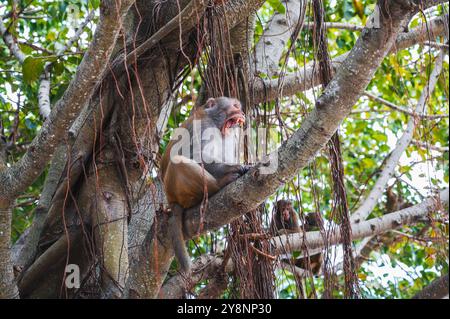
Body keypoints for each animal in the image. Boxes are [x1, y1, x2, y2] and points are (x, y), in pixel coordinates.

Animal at [160, 96, 248, 274]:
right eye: (235, 106)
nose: (242, 112)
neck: (215, 122)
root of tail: (171, 200)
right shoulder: (203, 126)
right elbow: (196, 155)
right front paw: (234, 167)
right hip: (178, 189)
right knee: (178, 161)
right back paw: (220, 184)